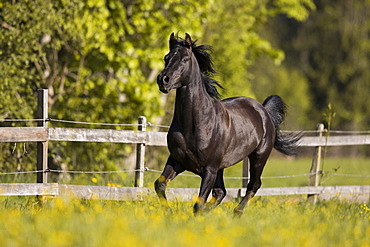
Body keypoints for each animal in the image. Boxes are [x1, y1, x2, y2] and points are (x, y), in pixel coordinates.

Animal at [154, 33, 300, 216]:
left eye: (185, 59)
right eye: (166, 58)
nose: (163, 80)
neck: (194, 125)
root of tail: (264, 111)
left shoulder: (209, 169)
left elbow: (198, 204)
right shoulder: (177, 161)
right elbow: (159, 185)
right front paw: (169, 212)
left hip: (258, 157)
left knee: (253, 185)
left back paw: (237, 213)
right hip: (221, 168)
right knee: (220, 192)